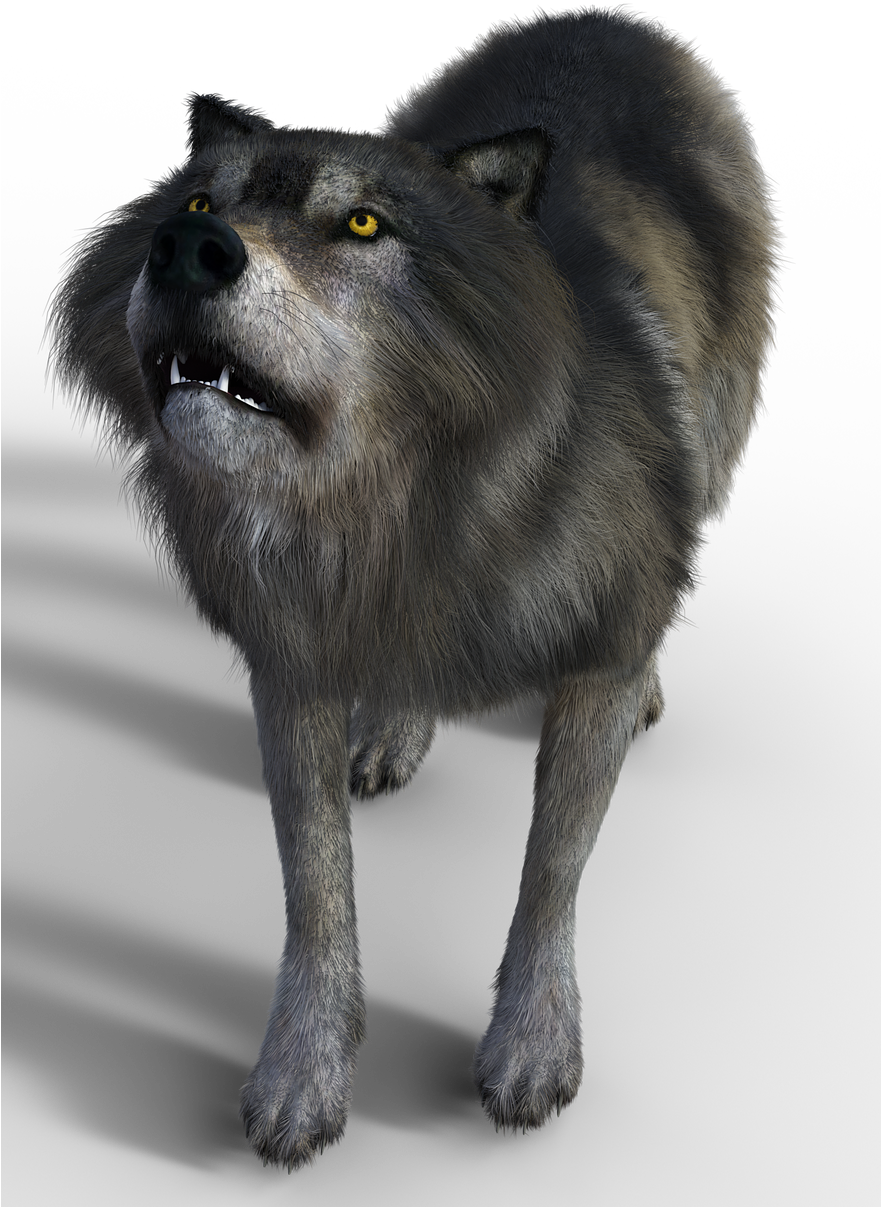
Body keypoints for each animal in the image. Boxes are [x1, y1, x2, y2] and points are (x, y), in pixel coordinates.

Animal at [49, 8, 779, 1172]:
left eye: (360, 223)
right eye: (201, 202)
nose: (188, 251)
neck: (400, 523)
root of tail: (609, 19)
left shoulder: (589, 668)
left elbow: (551, 870)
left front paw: (530, 1050)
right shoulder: (292, 676)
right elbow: (315, 894)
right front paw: (299, 1081)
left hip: (713, 439)